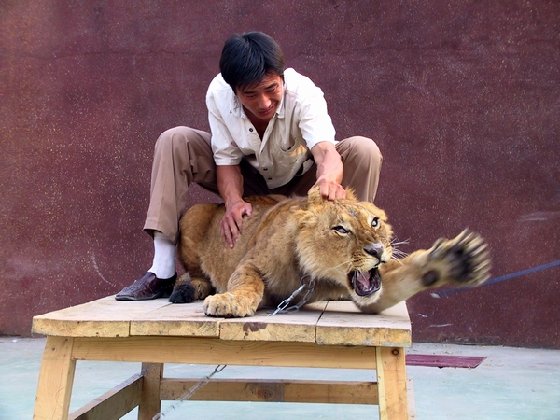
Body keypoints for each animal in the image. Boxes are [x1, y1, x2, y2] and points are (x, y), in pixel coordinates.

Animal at [172, 185, 490, 316]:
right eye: (341, 229)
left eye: (374, 222)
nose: (377, 250)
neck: (311, 275)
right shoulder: (249, 263)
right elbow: (246, 282)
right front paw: (228, 301)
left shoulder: (366, 296)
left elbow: (397, 283)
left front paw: (456, 260)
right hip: (192, 215)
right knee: (191, 272)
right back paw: (188, 289)